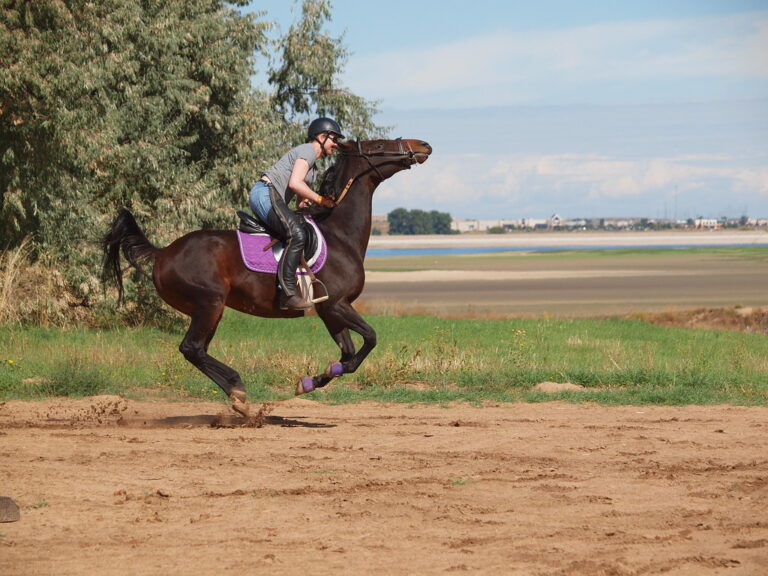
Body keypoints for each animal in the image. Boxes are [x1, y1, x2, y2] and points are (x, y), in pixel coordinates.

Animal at [102, 137, 432, 416]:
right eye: (378, 145)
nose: (423, 145)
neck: (340, 234)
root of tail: (163, 252)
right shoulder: (337, 304)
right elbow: (370, 338)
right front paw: (314, 379)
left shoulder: (329, 309)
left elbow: (349, 355)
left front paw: (312, 380)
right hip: (209, 303)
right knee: (191, 348)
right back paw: (238, 392)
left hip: (209, 309)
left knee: (197, 350)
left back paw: (237, 396)